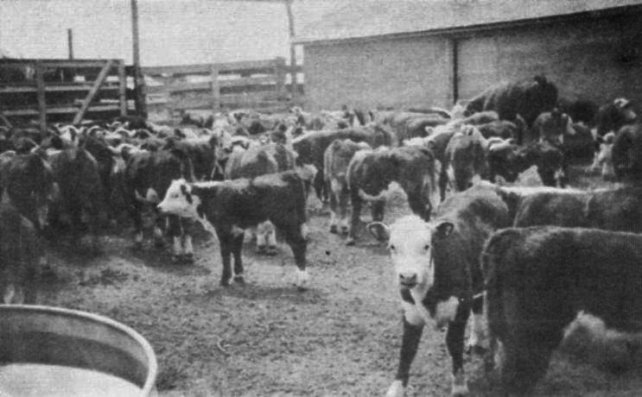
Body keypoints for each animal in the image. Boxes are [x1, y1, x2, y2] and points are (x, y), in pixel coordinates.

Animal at [364, 183, 510, 396]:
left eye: (427, 246)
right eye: (392, 246)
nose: (408, 277)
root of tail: (483, 186)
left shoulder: (459, 309)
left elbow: (453, 344)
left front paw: (459, 386)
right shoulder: (410, 313)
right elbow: (407, 350)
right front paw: (396, 388)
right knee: (477, 304)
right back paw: (476, 340)